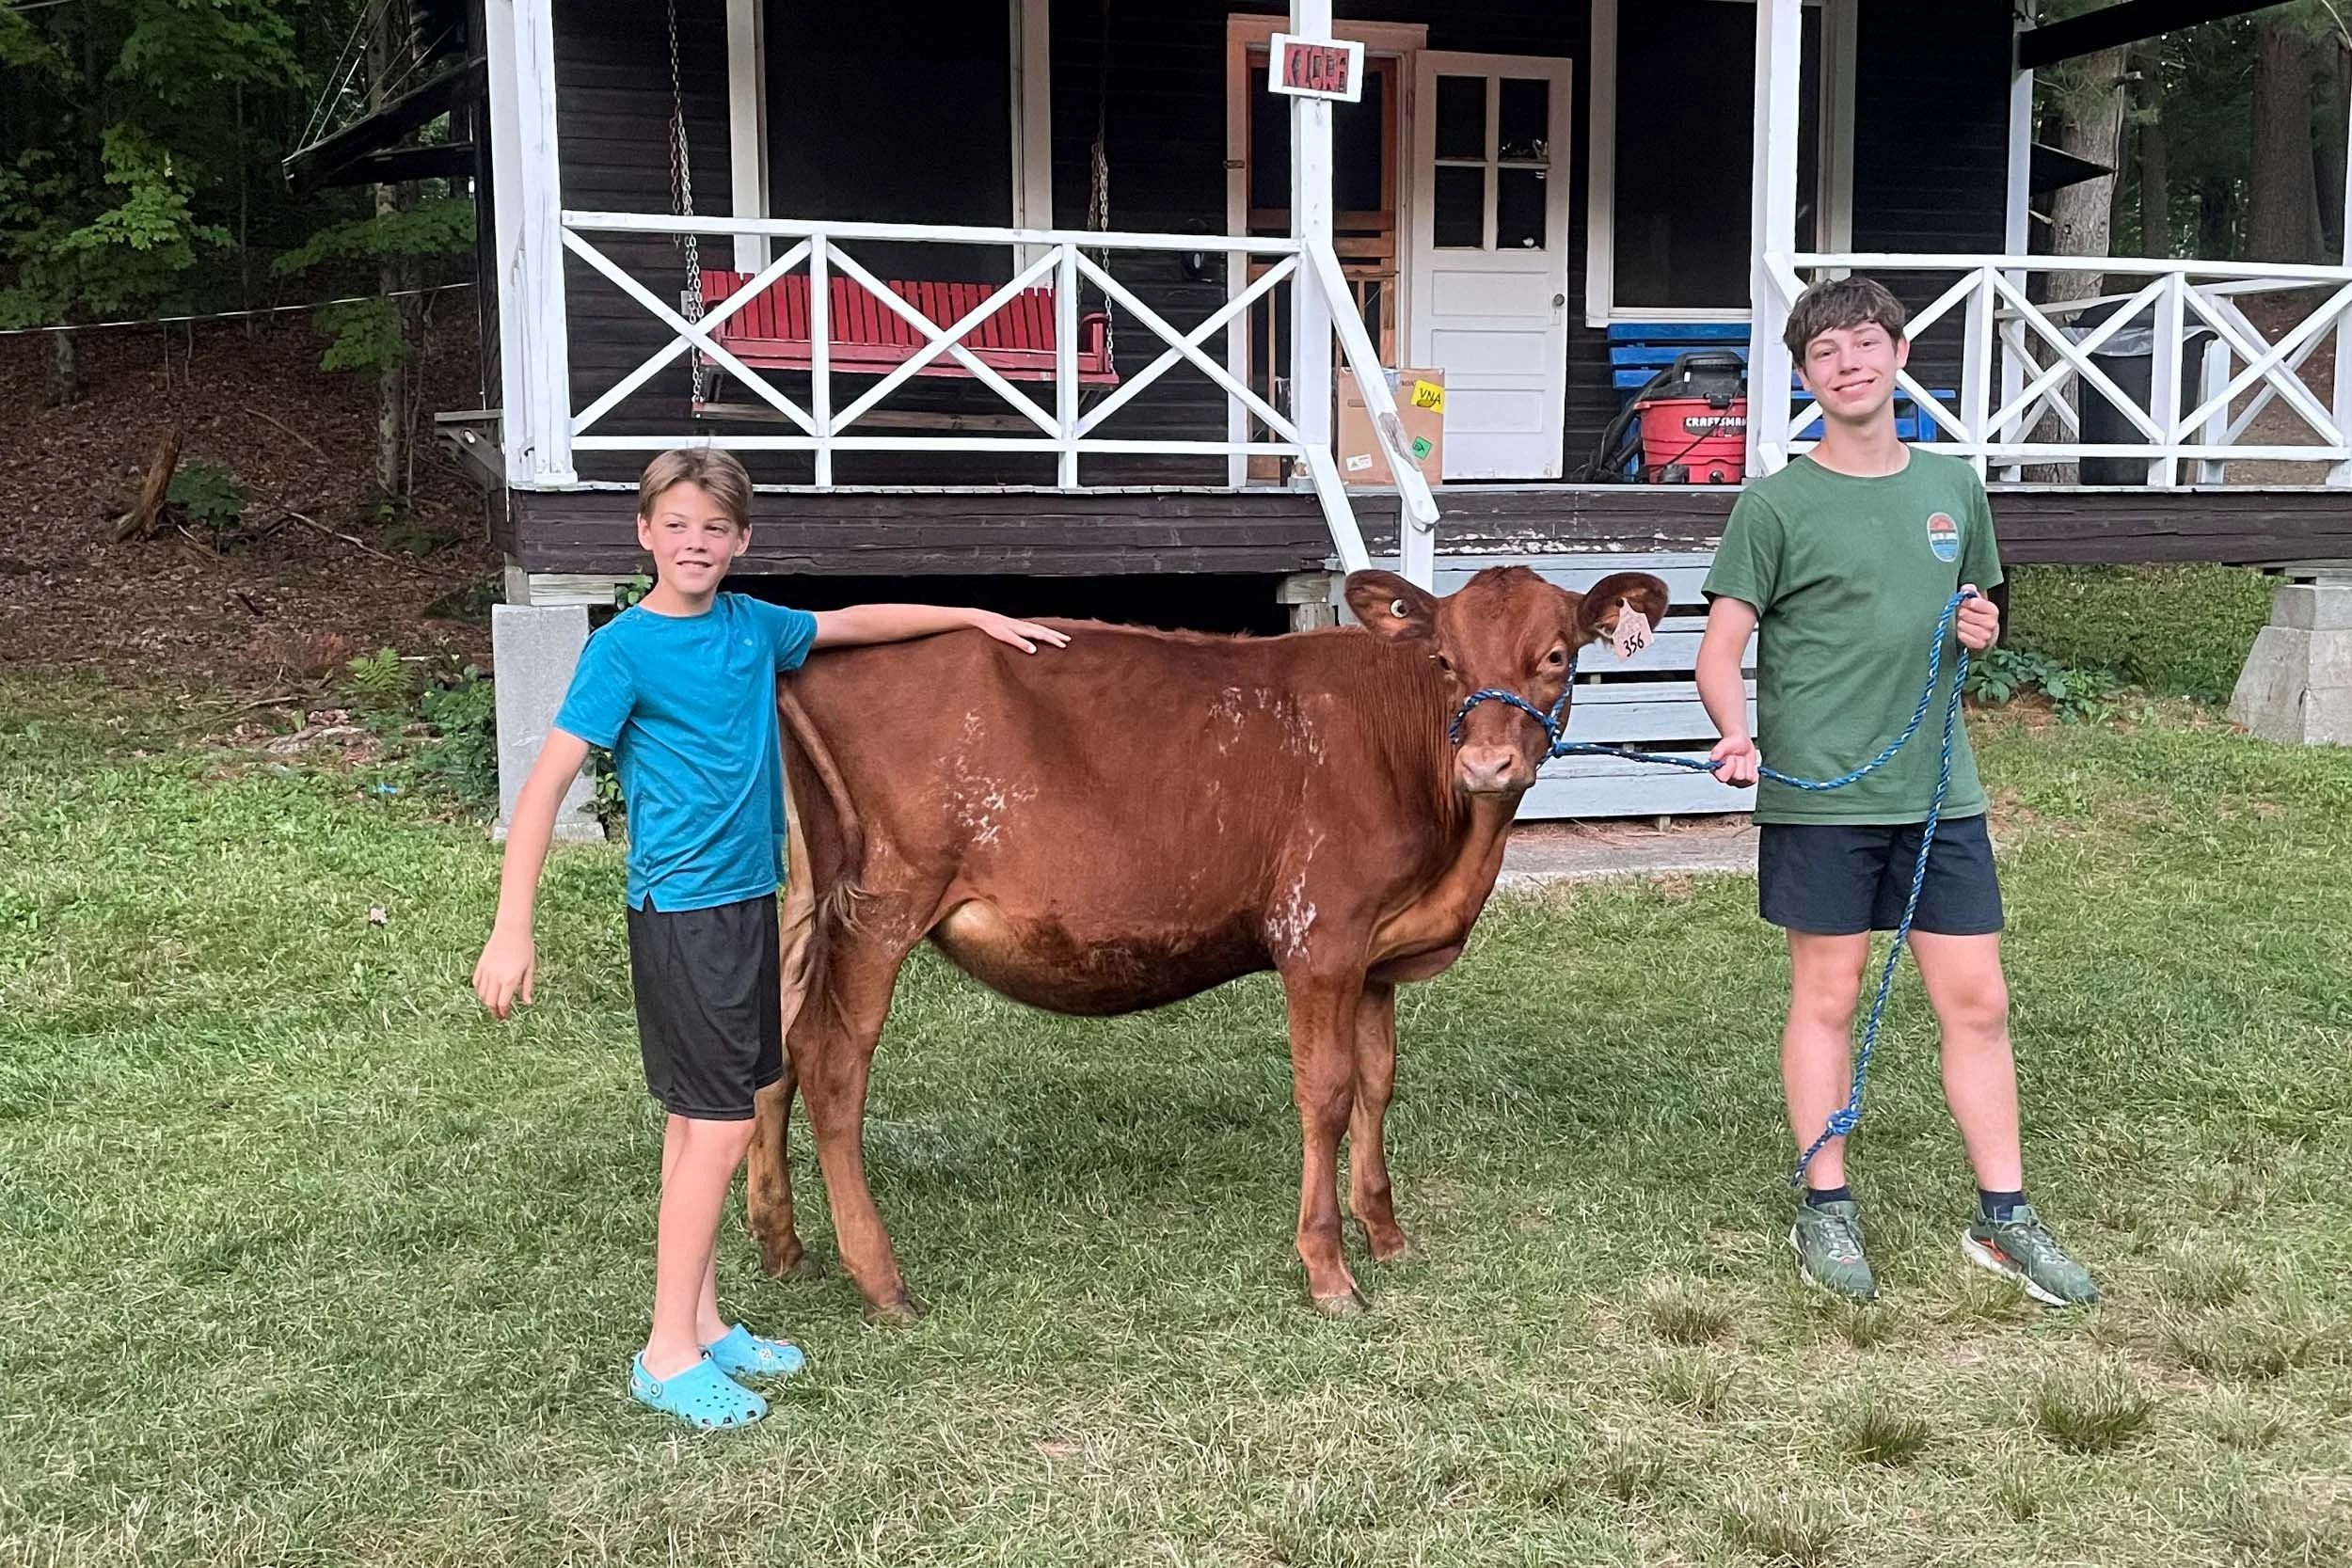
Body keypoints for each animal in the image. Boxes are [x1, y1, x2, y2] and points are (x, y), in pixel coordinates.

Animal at [747, 565, 1672, 1320]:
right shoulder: (1320, 936)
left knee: (777, 1048)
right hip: (881, 906)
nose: (1485, 766)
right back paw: (881, 1279)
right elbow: (1327, 1092)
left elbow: (1378, 1084)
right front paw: (1329, 1269)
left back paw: (782, 1244)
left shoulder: (1376, 957)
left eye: (1556, 655)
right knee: (832, 1064)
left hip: (807, 903)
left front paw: (1386, 1232)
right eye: (1445, 661)